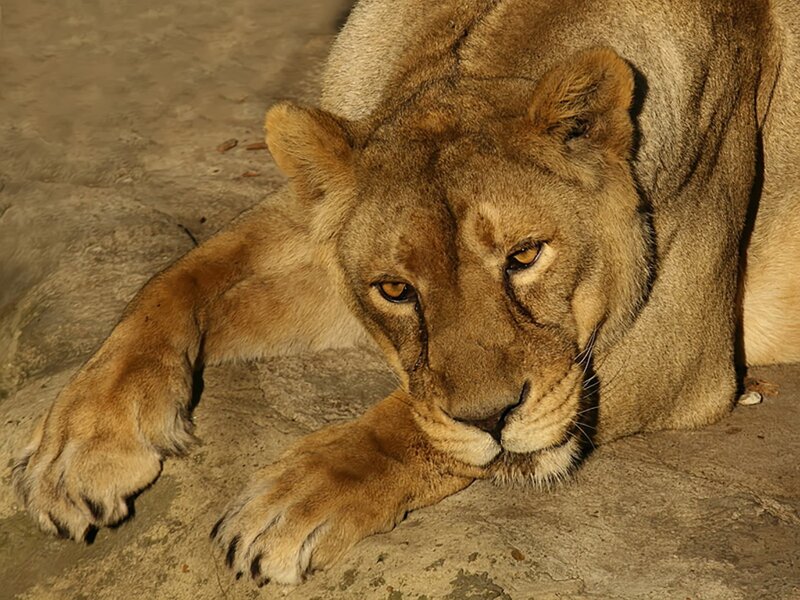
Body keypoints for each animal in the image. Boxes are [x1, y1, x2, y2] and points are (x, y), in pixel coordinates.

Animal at [12, 0, 800, 587]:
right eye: (395, 289)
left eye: (525, 256)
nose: (491, 419)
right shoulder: (314, 229)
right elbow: (178, 278)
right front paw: (75, 447)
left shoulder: (678, 344)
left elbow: (406, 419)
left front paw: (293, 500)